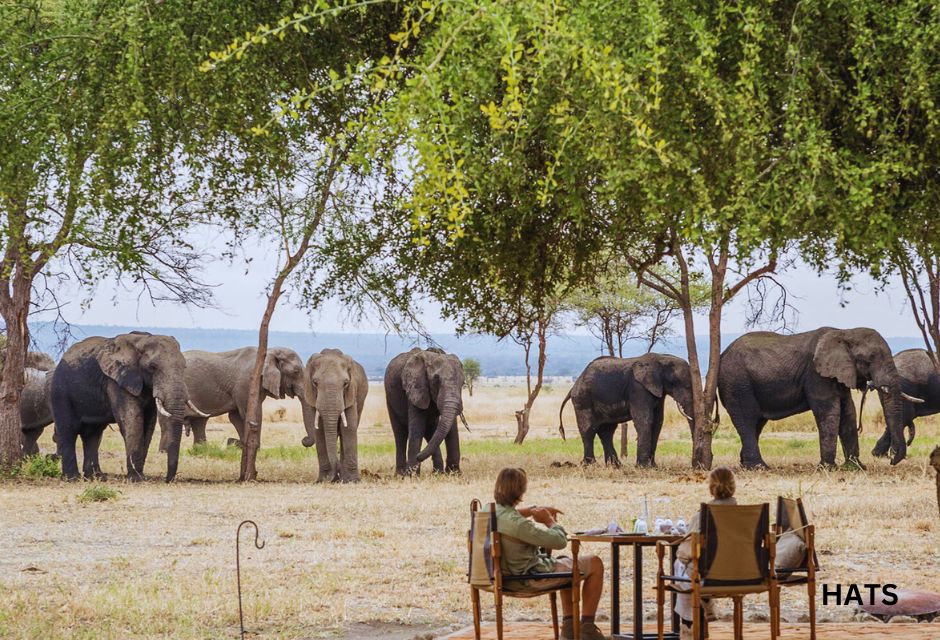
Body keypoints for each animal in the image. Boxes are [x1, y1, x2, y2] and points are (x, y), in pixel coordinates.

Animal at [51, 336, 196, 480]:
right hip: (60, 391)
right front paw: (136, 479)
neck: (142, 339)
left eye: (184, 367)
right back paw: (72, 478)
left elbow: (148, 423)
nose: (167, 480)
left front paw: (140, 475)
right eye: (152, 367)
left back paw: (96, 477)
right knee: (68, 429)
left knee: (93, 433)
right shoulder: (117, 381)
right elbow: (132, 420)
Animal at [304, 348, 370, 482]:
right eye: (315, 383)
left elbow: (349, 428)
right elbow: (319, 430)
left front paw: (353, 481)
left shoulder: (351, 394)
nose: (335, 475)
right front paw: (323, 480)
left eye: (346, 383)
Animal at [386, 344, 466, 476]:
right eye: (436, 380)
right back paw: (400, 475)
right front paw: (412, 476)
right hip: (390, 398)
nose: (418, 456)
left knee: (431, 431)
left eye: (463, 382)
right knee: (400, 434)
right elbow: (417, 428)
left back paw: (437, 473)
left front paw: (454, 474)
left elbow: (451, 429)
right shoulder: (416, 388)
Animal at [560, 352, 696, 468]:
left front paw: (653, 466)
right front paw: (643, 467)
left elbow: (658, 423)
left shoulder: (658, 391)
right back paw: (590, 465)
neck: (661, 358)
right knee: (589, 429)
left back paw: (615, 466)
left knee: (607, 431)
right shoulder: (638, 388)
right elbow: (645, 420)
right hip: (583, 399)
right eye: (684, 385)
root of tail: (574, 385)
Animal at [716, 324, 920, 470]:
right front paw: (828, 468)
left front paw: (856, 467)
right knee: (747, 420)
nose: (892, 458)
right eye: (869, 360)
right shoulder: (816, 375)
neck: (845, 332)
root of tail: (721, 355)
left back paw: (746, 465)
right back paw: (759, 467)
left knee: (756, 423)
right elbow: (830, 412)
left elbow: (848, 412)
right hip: (737, 383)